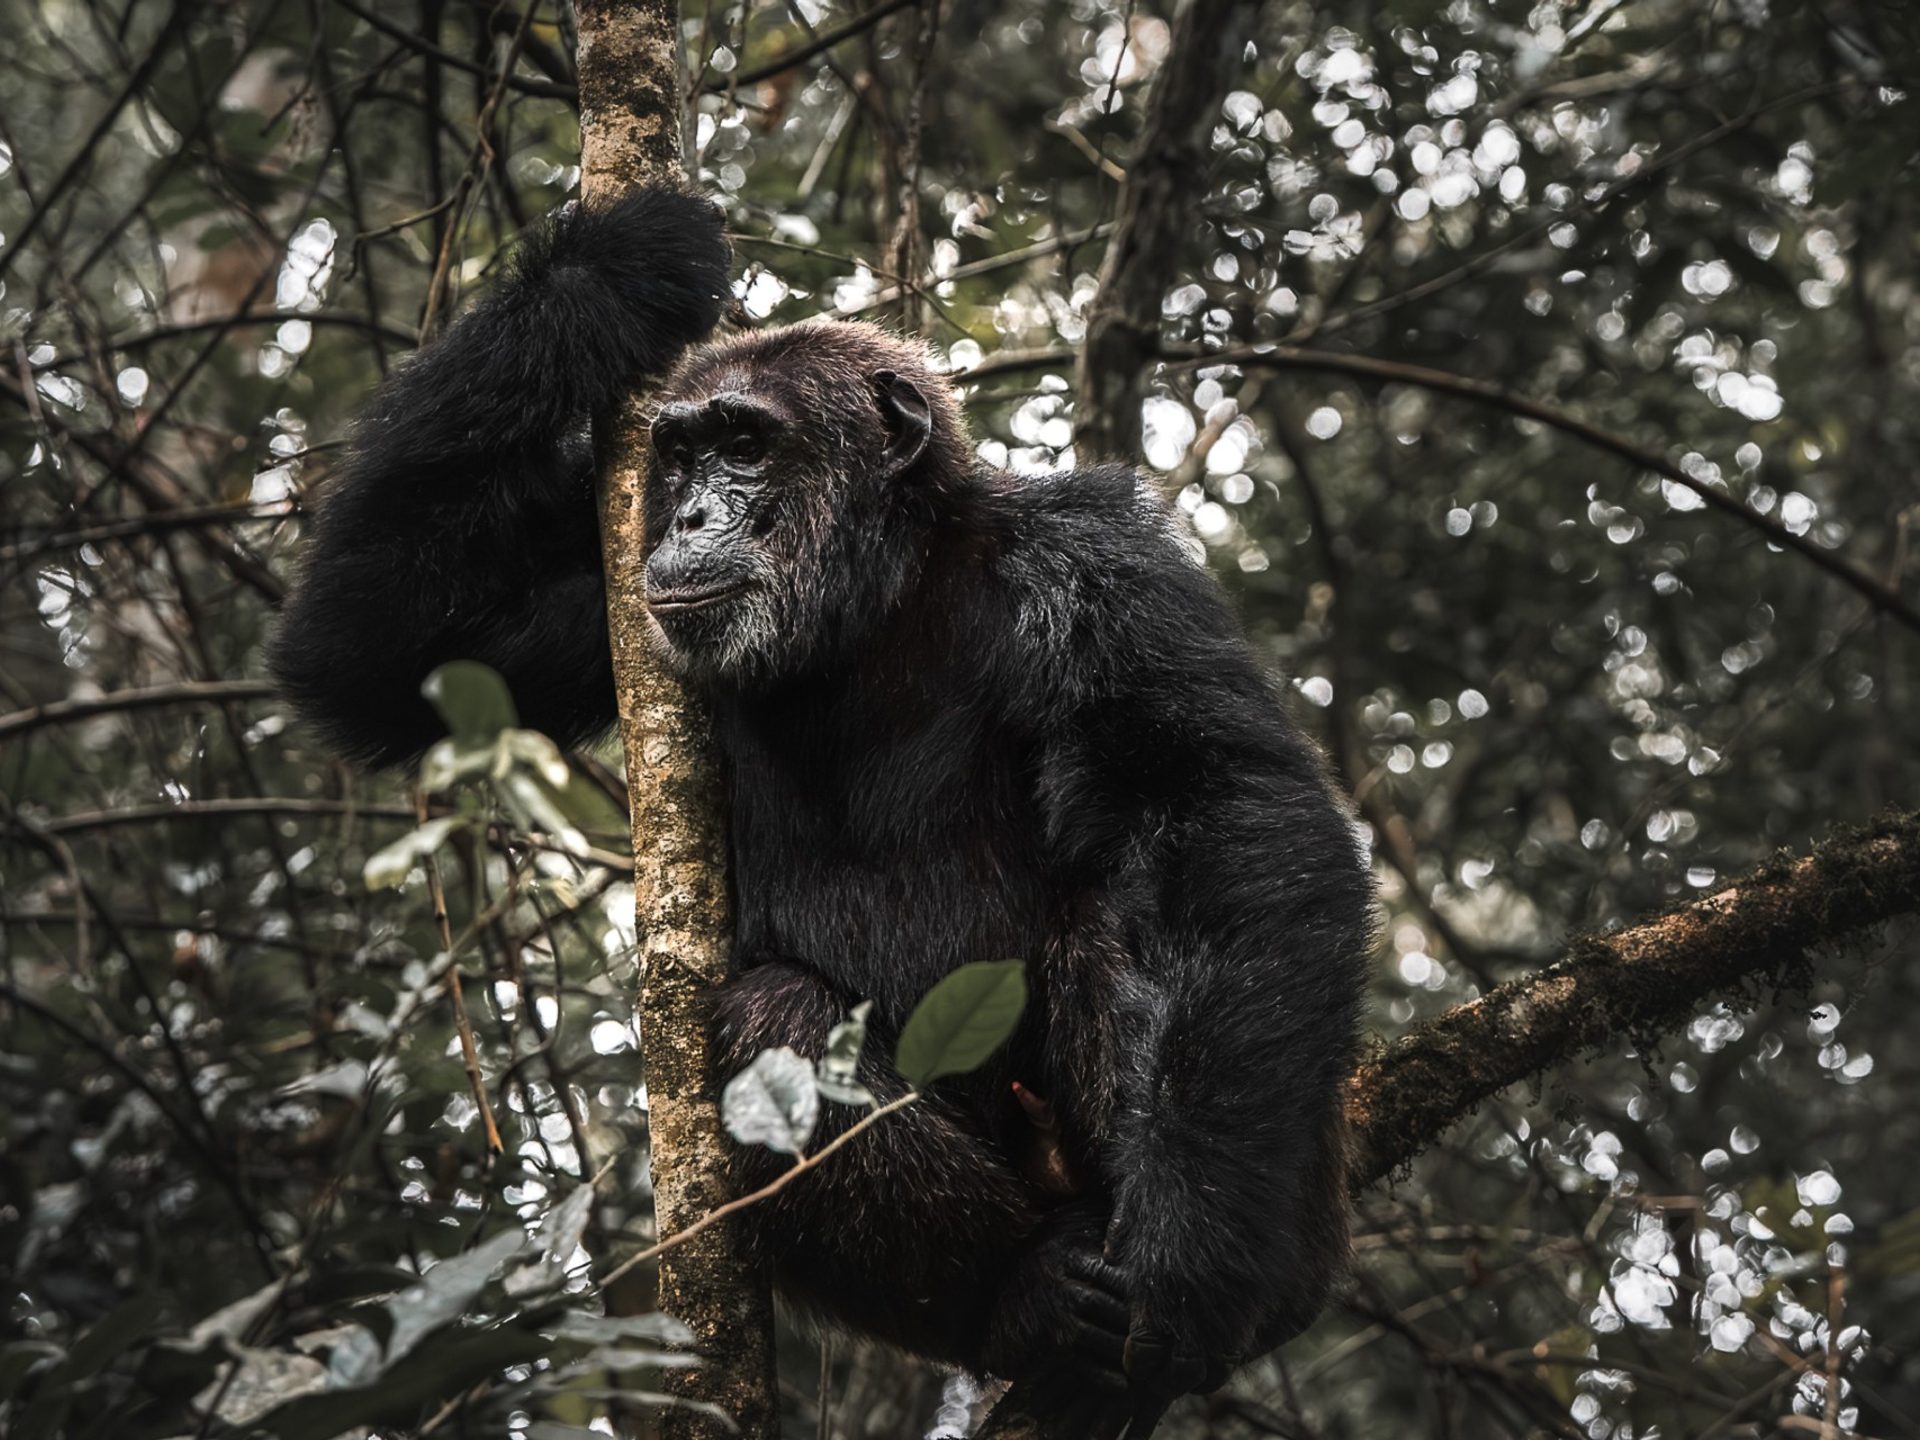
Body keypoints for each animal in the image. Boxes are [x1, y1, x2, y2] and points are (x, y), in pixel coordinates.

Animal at [271, 188, 1374, 1427]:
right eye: (681, 452)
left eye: (747, 443)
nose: (691, 513)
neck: (874, 598)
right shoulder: (601, 595)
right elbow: (376, 647)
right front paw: (613, 269)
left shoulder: (1100, 563)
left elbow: (1214, 803)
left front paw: (1200, 1251)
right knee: (774, 1022)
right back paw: (1029, 1298)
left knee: (1119, 924)